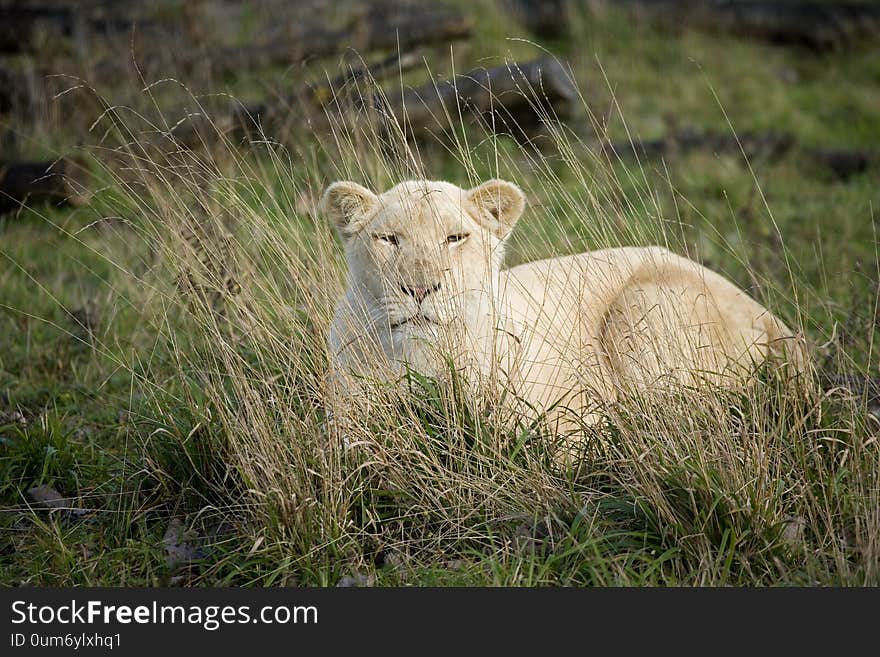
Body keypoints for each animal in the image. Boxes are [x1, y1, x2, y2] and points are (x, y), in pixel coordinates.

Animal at [324, 179, 804, 444]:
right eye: (389, 239)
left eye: (455, 238)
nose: (420, 289)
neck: (423, 361)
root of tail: (771, 316)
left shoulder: (572, 414)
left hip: (640, 308)